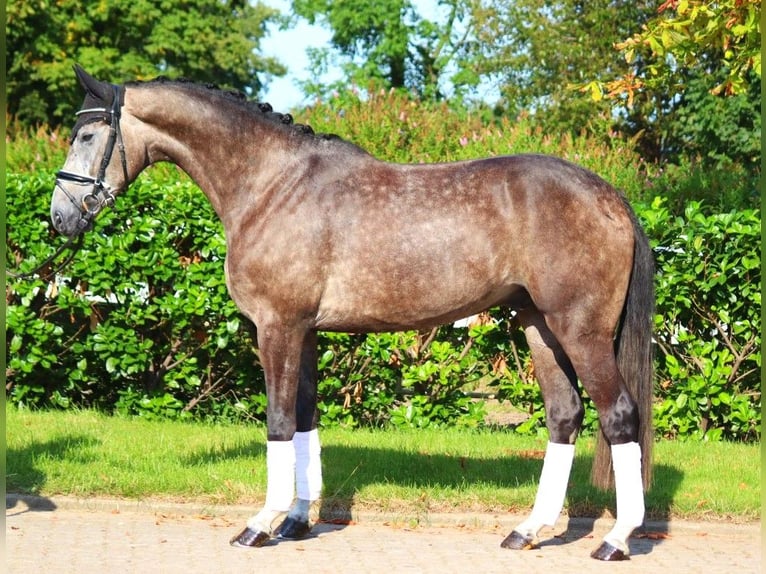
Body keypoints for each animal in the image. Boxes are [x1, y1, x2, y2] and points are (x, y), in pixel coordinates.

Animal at [52, 66, 656, 564]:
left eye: (86, 136)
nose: (60, 217)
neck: (271, 185)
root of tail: (609, 196)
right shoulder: (304, 332)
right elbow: (304, 418)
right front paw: (297, 520)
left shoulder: (276, 327)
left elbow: (278, 421)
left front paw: (260, 524)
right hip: (539, 326)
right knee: (564, 416)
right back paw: (528, 531)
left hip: (580, 331)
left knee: (619, 415)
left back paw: (616, 539)